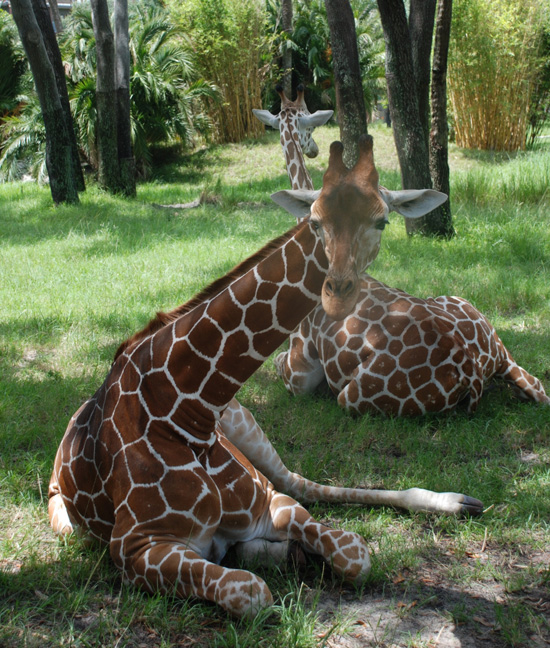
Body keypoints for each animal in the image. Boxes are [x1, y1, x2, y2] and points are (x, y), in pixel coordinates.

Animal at [49, 136, 481, 618]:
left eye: (382, 220)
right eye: (315, 221)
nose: (337, 292)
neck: (184, 408)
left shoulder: (270, 503)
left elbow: (354, 553)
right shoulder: (135, 548)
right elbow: (251, 592)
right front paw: (272, 556)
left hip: (250, 429)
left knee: (300, 481)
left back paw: (457, 502)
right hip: (65, 521)